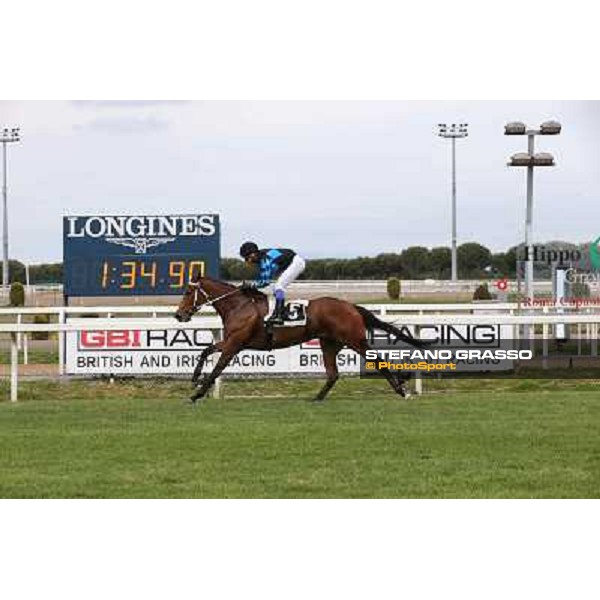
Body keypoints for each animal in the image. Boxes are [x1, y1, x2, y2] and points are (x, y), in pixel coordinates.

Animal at [175, 278, 426, 404]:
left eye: (187, 292)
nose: (179, 315)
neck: (239, 306)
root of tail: (350, 306)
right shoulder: (231, 341)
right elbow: (206, 351)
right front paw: (194, 379)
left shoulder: (234, 344)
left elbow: (217, 368)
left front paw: (196, 394)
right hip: (329, 343)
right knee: (333, 374)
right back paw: (316, 398)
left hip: (354, 340)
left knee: (376, 359)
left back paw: (401, 388)